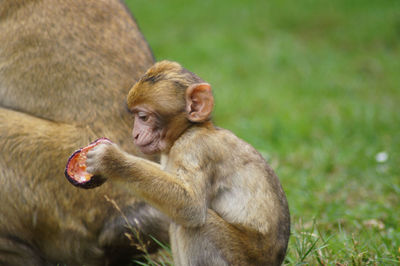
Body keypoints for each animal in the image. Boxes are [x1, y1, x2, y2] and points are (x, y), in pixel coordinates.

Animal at [86, 60, 290, 266]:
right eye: (135, 116)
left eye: (143, 117)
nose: (135, 134)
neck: (190, 129)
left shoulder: (195, 149)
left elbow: (191, 205)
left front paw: (110, 159)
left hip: (241, 258)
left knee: (197, 226)